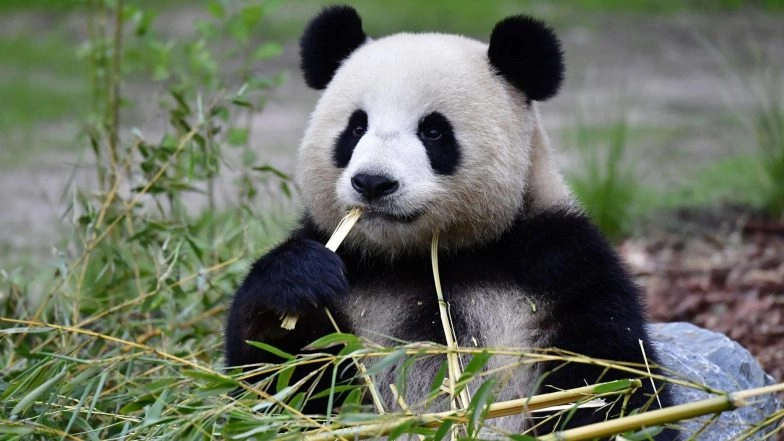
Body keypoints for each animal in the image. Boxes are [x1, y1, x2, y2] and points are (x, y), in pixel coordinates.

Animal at [226, 5, 674, 438]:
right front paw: (297, 280)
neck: (426, 256)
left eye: (434, 131)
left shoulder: (560, 262)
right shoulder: (350, 268)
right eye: (355, 128)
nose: (373, 182)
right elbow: (275, 384)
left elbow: (610, 380)